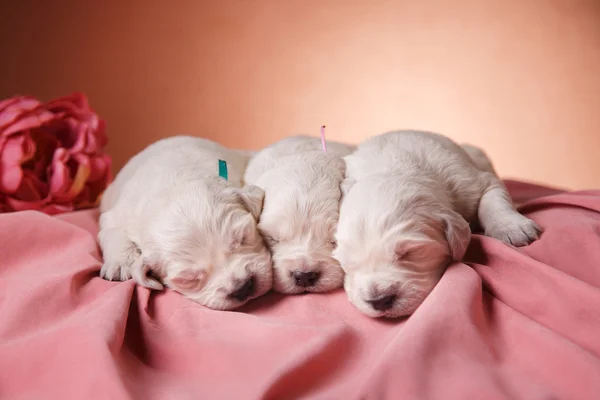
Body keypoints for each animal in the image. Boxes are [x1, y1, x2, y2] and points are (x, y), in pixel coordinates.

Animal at [98, 136, 272, 310]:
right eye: (189, 279)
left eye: (243, 238)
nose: (242, 287)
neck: (172, 182)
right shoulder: (116, 214)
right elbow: (112, 231)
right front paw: (120, 264)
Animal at [336, 131, 540, 318]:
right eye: (346, 263)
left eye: (409, 252)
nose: (379, 300)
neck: (395, 167)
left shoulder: (473, 181)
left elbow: (494, 199)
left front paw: (512, 228)